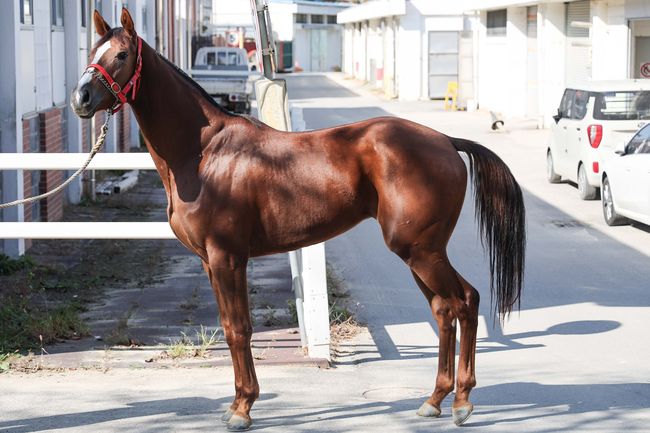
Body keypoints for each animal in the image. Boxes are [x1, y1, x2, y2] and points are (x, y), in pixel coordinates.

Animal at [73, 8, 524, 430]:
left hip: (421, 251)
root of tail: (446, 142)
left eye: (122, 55)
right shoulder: (209, 262)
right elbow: (230, 326)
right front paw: (240, 403)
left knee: (464, 302)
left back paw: (462, 402)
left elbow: (239, 328)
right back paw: (435, 399)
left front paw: (242, 408)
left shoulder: (227, 258)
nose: (81, 98)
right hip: (421, 253)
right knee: (445, 310)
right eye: (92, 51)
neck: (204, 154)